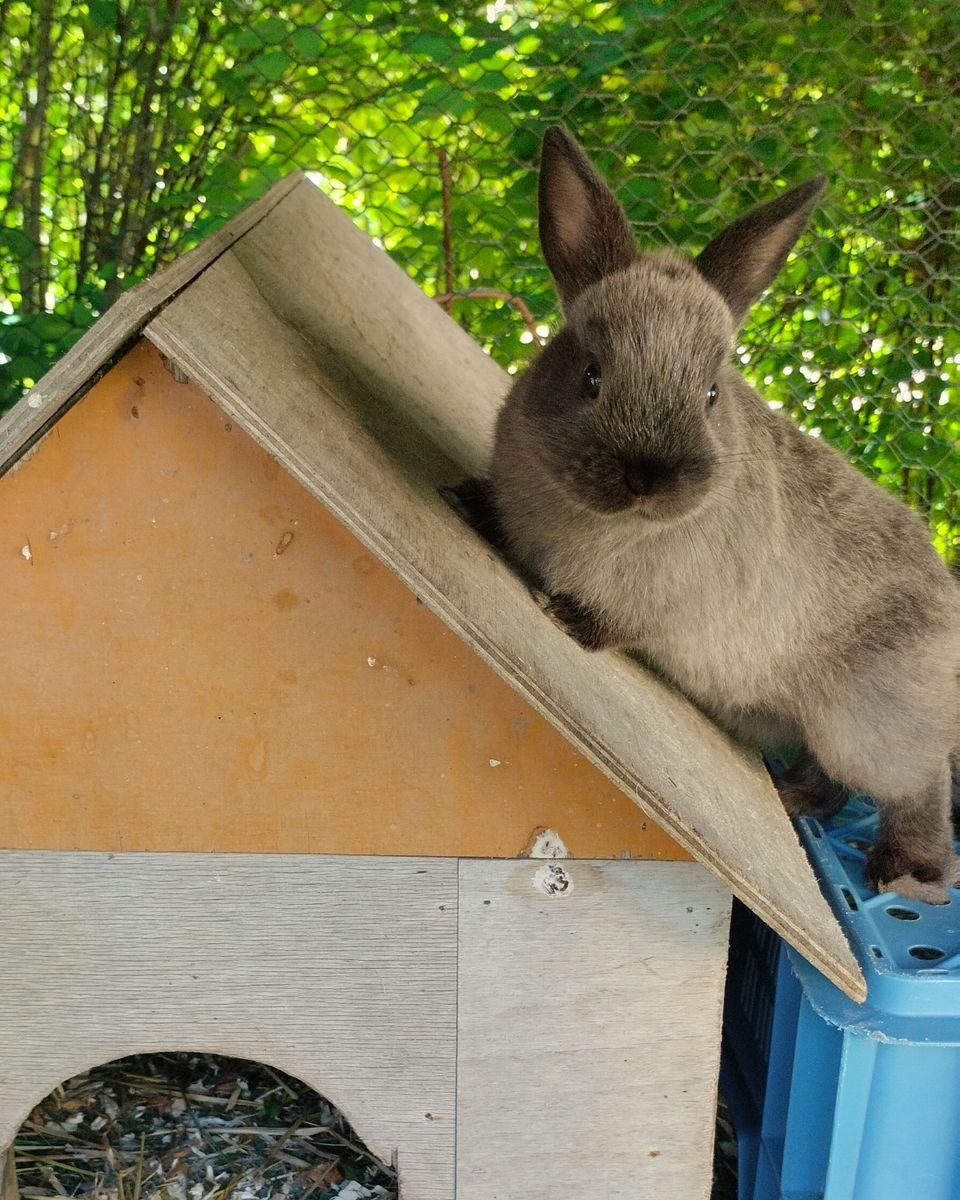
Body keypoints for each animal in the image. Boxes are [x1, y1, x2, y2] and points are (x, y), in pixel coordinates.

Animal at [446, 126, 955, 902]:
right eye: (591, 374)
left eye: (711, 394)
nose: (646, 477)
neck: (605, 522)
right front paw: (467, 499)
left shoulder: (666, 603)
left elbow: (616, 624)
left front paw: (564, 616)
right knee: (832, 784)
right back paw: (793, 800)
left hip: (864, 725)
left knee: (918, 784)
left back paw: (909, 873)